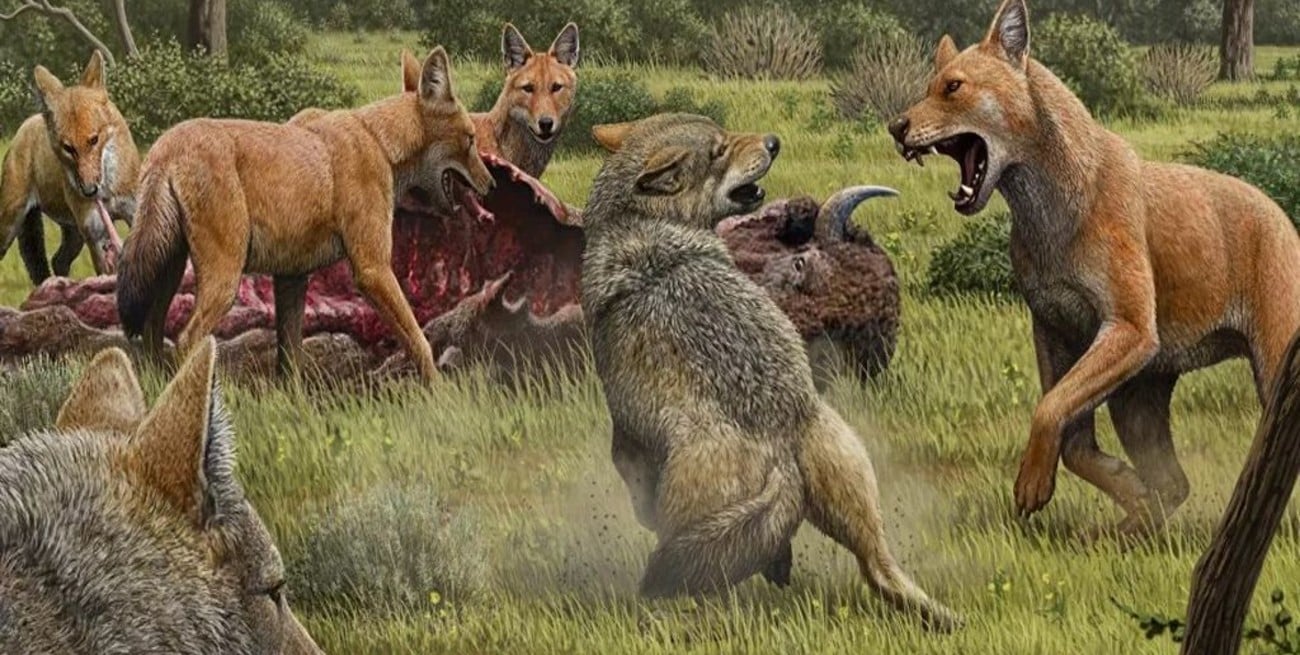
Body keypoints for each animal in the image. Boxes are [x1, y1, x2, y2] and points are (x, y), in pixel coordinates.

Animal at [0, 50, 138, 283]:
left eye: (94, 140)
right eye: (68, 148)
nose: (89, 190)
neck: (108, 193)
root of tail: (27, 123)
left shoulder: (133, 213)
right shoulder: (95, 234)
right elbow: (106, 275)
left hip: (74, 236)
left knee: (57, 260)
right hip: (10, 224)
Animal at [116, 47, 494, 381]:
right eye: (471, 139)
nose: (491, 185)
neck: (379, 142)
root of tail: (167, 145)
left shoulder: (291, 278)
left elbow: (290, 361)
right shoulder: (372, 270)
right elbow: (419, 343)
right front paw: (441, 395)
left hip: (169, 272)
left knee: (151, 333)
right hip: (223, 281)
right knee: (185, 341)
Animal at [580, 113, 959, 631]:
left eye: (721, 137)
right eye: (719, 150)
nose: (774, 141)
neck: (641, 225)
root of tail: (779, 442)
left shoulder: (627, 434)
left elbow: (639, 498)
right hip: (854, 477)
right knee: (879, 569)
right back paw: (944, 618)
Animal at [889, 0, 1300, 536]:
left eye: (953, 87)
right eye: (928, 87)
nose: (896, 127)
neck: (1048, 212)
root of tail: (1282, 217)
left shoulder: (1126, 329)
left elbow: (1050, 409)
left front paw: (1031, 484)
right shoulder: (1056, 330)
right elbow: (1073, 436)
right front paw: (1125, 489)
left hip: (1271, 371)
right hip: (1137, 401)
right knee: (1176, 482)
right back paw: (1130, 528)